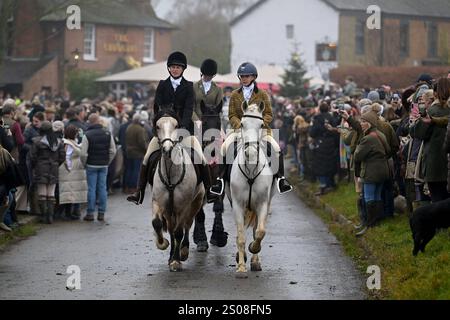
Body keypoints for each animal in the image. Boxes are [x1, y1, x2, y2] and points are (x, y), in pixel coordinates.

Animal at [153, 109, 206, 272]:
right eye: (157, 126)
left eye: (176, 125)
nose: (167, 149)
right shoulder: (159, 202)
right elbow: (157, 223)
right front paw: (163, 244)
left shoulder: (183, 206)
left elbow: (179, 232)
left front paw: (177, 260)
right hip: (170, 211)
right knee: (171, 228)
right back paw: (172, 254)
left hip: (195, 203)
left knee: (186, 226)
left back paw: (183, 250)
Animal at [227, 102, 276, 276]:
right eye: (242, 124)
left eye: (261, 125)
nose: (251, 153)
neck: (251, 170)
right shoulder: (237, 205)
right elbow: (241, 235)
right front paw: (241, 266)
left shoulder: (262, 204)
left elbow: (260, 232)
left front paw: (254, 248)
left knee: (256, 229)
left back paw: (255, 261)